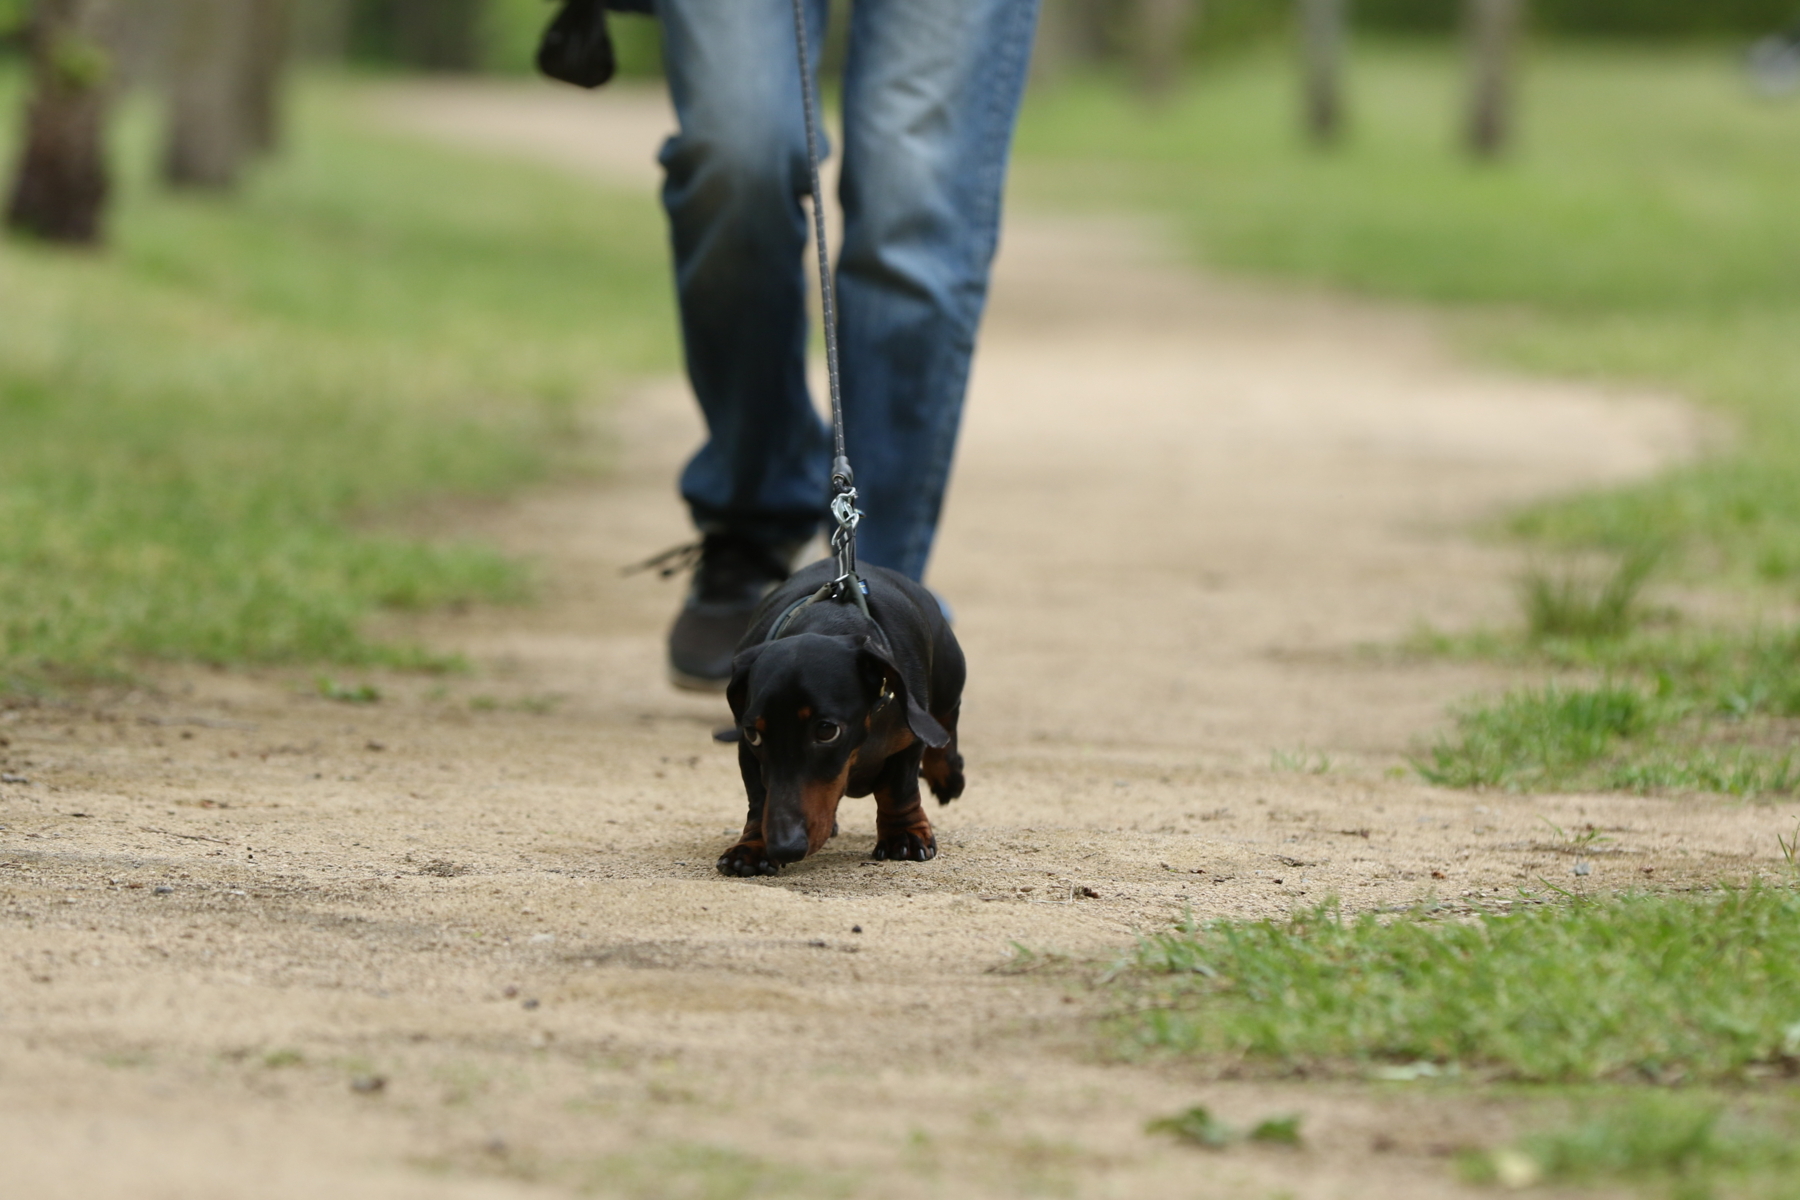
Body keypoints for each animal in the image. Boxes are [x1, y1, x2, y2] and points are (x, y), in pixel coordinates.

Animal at [720, 557, 964, 877]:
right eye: (753, 734)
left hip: (949, 678)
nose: (785, 847)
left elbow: (898, 789)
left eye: (827, 730)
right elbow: (760, 798)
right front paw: (752, 847)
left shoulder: (909, 740)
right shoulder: (748, 752)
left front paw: (904, 835)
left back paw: (948, 776)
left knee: (946, 720)